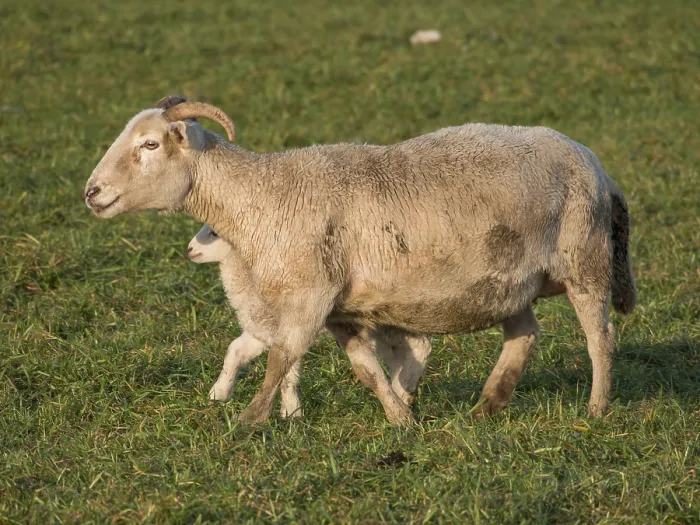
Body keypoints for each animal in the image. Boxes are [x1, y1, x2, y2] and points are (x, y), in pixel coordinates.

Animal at [187, 223, 433, 419]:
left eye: (214, 233)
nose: (189, 249)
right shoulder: (261, 329)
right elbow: (235, 352)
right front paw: (218, 394)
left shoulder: (285, 327)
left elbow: (288, 373)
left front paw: (291, 413)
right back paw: (400, 392)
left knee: (419, 347)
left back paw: (403, 392)